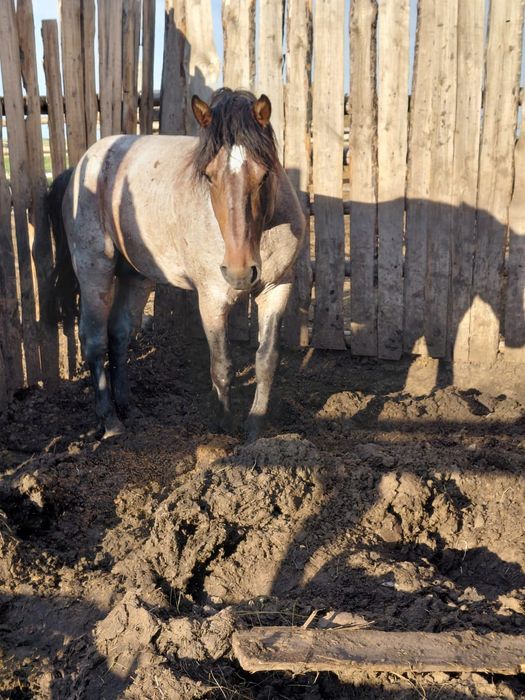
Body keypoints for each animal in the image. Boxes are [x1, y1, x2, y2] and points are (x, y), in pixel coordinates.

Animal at [48, 88, 305, 442]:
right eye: (208, 175)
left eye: (265, 174)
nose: (240, 272)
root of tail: (79, 168)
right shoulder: (211, 300)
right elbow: (221, 365)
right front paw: (223, 427)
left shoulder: (278, 289)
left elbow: (266, 360)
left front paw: (254, 430)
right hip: (94, 269)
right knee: (95, 341)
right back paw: (111, 422)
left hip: (137, 276)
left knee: (119, 334)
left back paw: (129, 408)